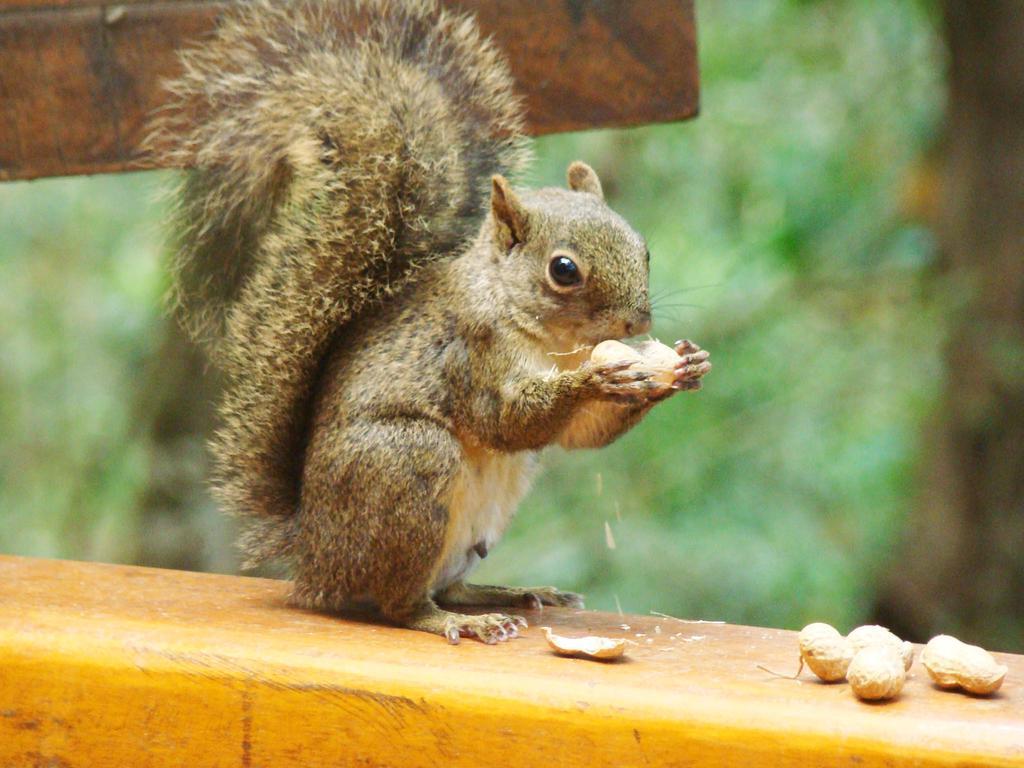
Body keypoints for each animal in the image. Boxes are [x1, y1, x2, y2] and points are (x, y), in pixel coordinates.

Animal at [151, 0, 712, 643]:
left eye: (643, 247)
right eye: (563, 269)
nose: (636, 321)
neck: (551, 341)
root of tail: (313, 554)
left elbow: (581, 435)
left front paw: (684, 367)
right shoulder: (470, 352)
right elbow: (505, 420)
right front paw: (596, 379)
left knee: (450, 583)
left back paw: (510, 594)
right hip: (407, 469)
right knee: (401, 603)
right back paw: (455, 620)